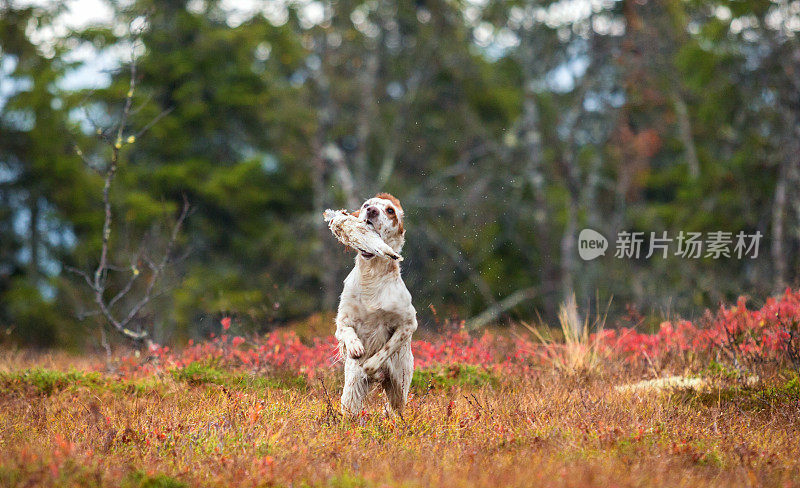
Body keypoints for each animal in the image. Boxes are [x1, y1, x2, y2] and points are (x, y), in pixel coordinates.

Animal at [332, 193, 416, 414]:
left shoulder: (409, 324)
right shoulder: (342, 320)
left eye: (390, 210)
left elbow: (387, 348)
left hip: (399, 391)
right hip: (351, 394)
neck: (372, 275)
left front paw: (370, 365)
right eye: (366, 205)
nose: (372, 211)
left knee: (395, 410)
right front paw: (355, 348)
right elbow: (347, 331)